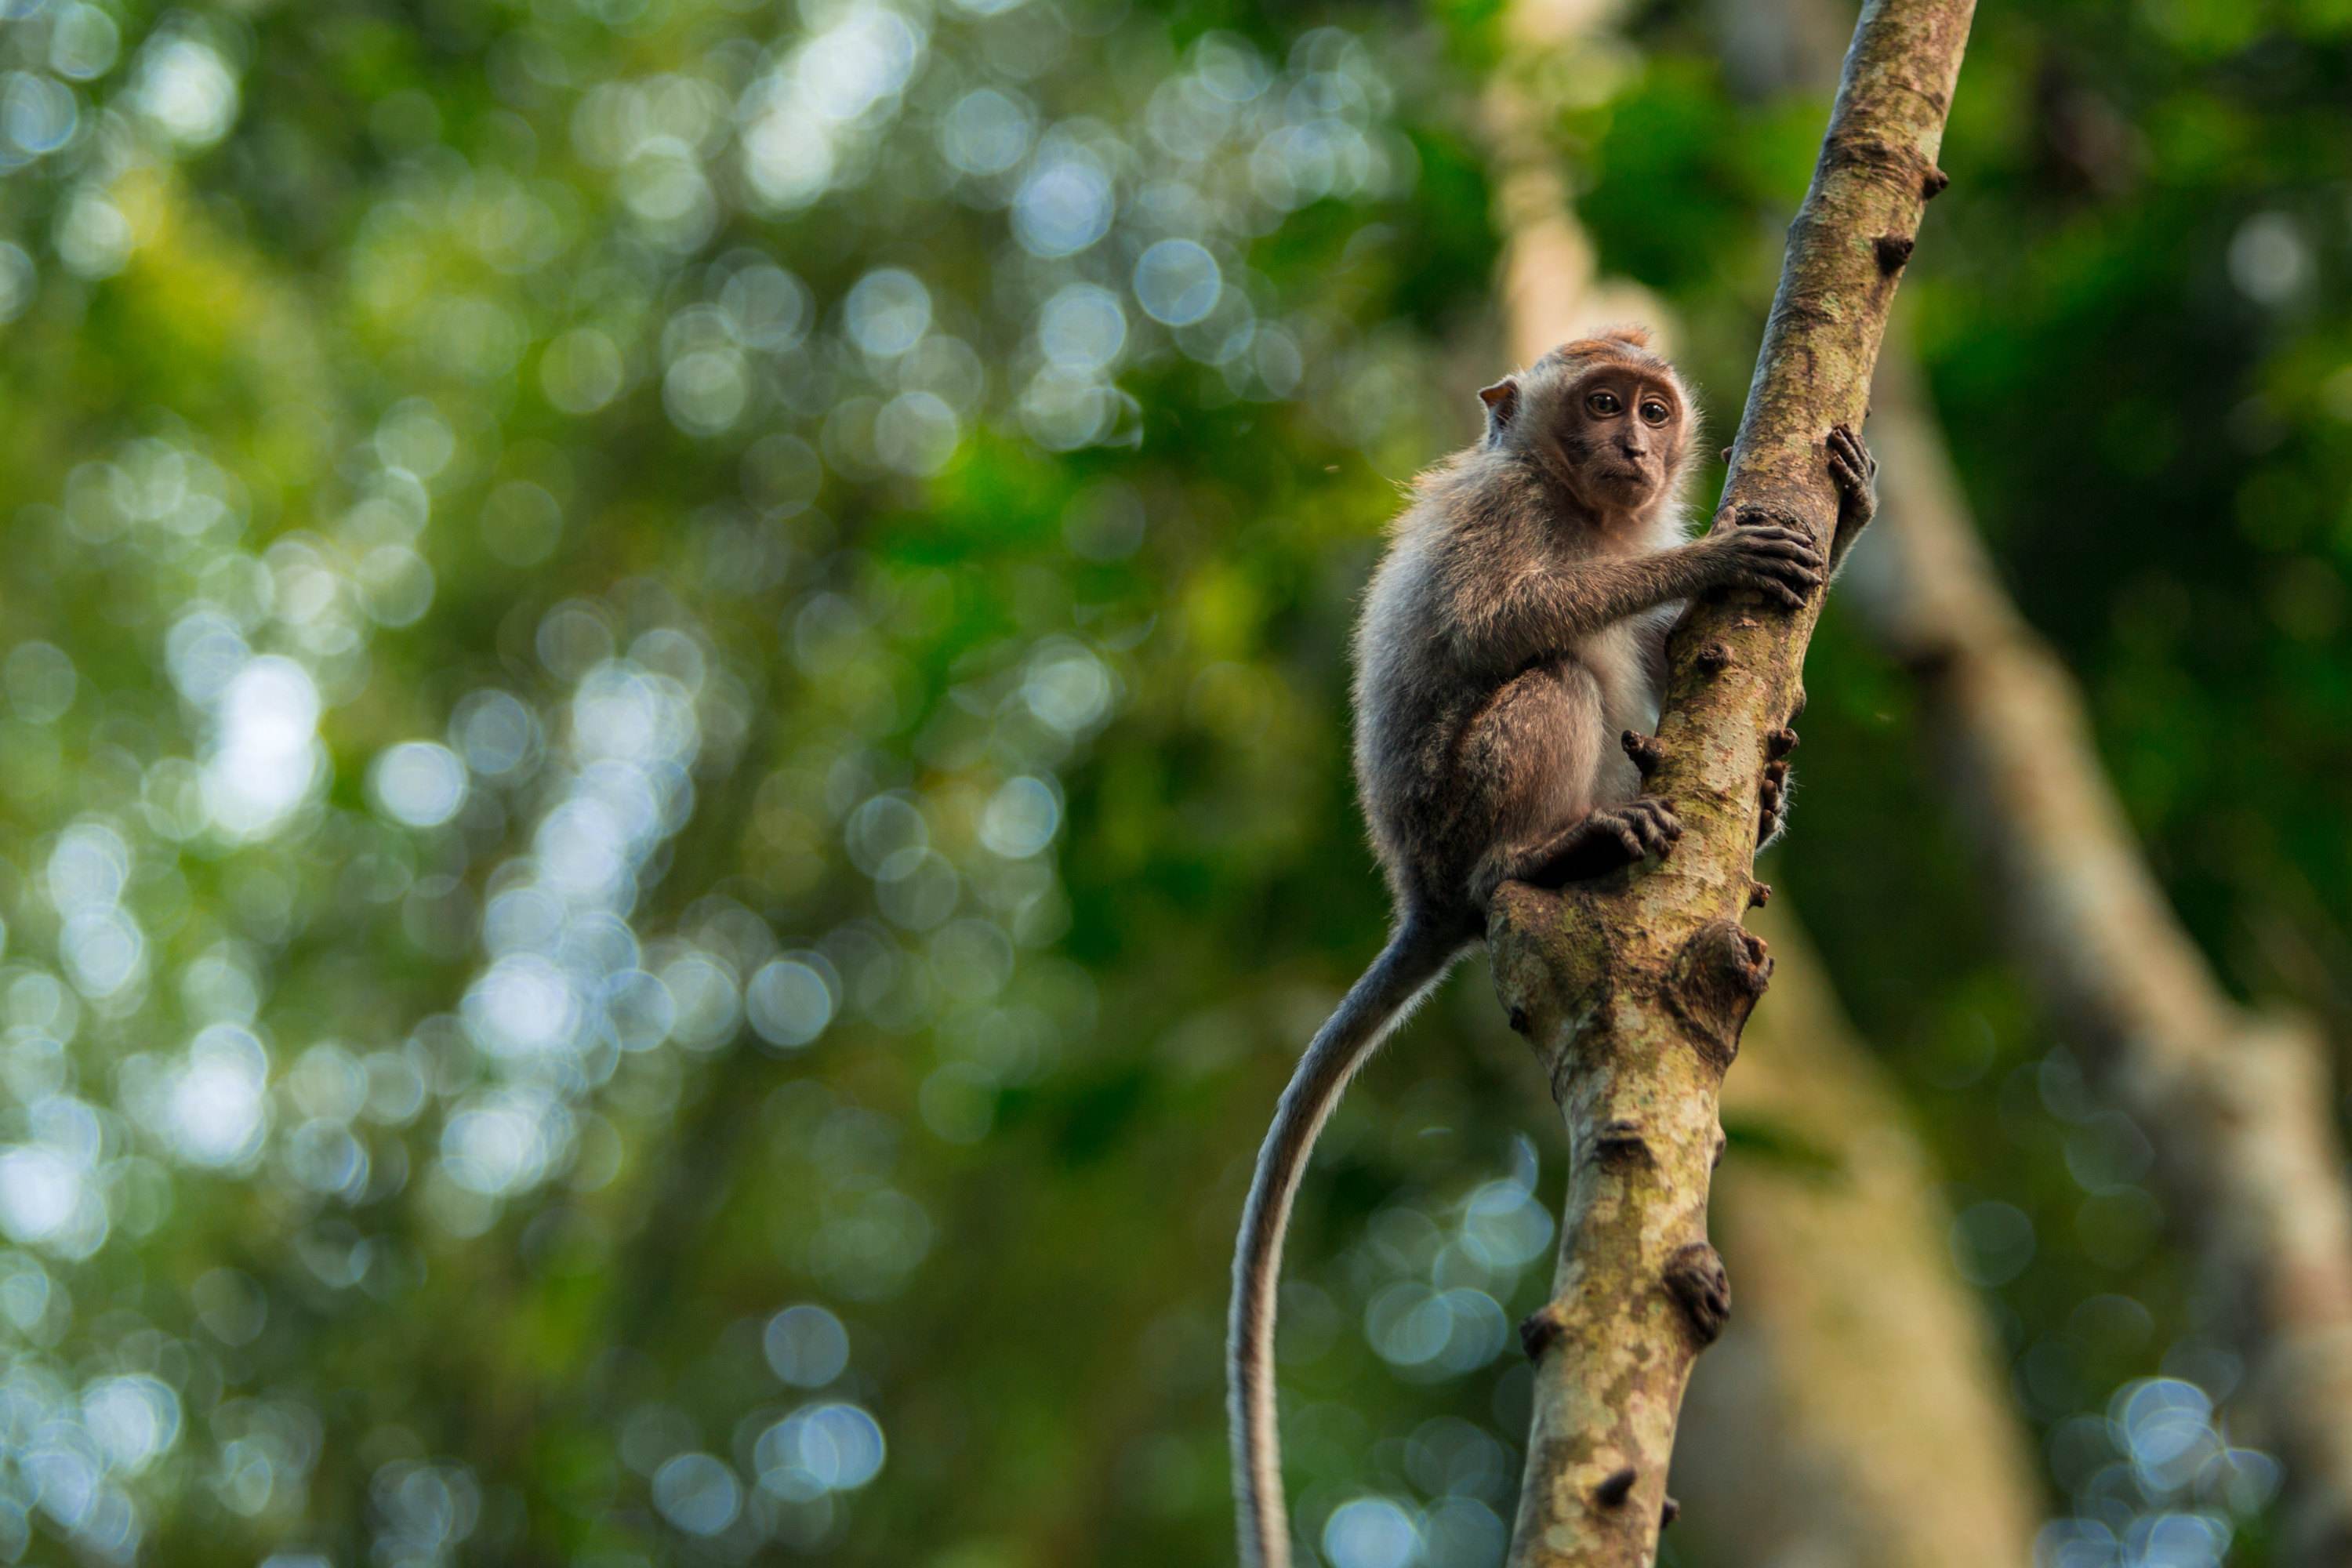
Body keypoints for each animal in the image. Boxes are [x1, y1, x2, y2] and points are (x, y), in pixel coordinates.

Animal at [1232, 328, 1872, 1568]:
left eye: (1654, 408)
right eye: (1601, 404)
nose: (1635, 443)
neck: (1584, 508)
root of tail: (1422, 893)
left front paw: (1853, 509)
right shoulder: (1503, 507)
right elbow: (1497, 625)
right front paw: (1715, 552)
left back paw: (1756, 797)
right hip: (1458, 809)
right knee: (1558, 675)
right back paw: (1542, 855)